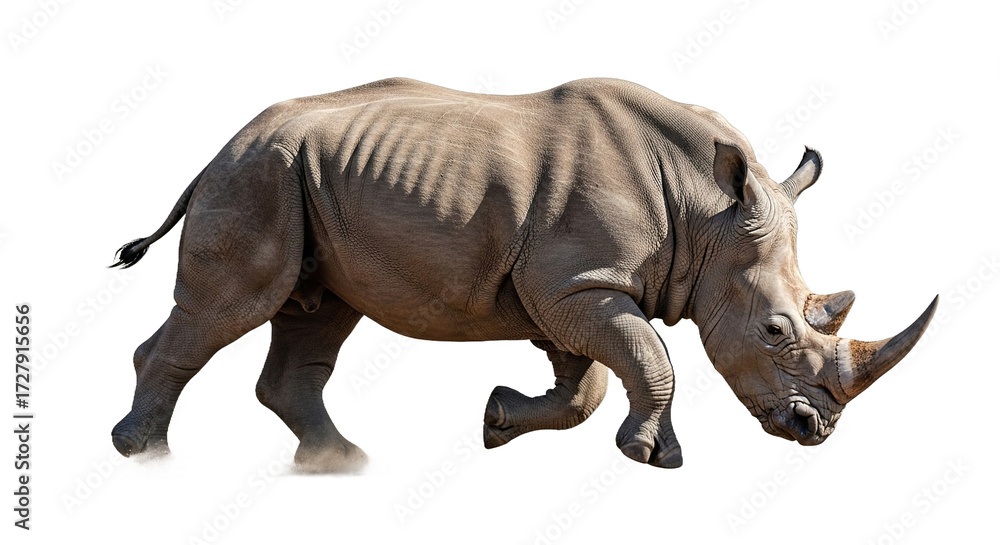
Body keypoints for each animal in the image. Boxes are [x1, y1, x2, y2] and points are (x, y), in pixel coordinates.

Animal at [110, 77, 936, 472]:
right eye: (773, 329)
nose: (815, 429)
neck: (708, 215)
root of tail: (222, 143)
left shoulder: (569, 289)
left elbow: (588, 383)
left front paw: (498, 420)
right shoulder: (579, 282)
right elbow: (651, 357)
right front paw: (653, 455)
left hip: (300, 179)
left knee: (315, 312)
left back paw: (339, 464)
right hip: (259, 177)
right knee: (235, 303)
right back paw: (145, 456)